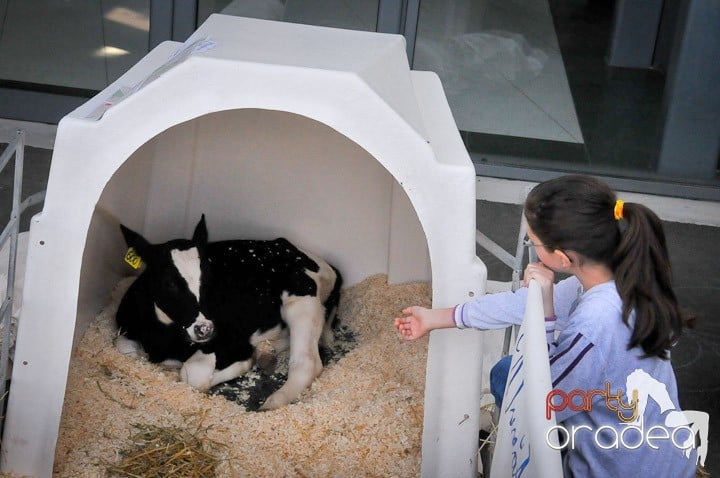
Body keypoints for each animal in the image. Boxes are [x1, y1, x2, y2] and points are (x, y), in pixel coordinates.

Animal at [114, 215, 344, 408]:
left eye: (209, 276)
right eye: (169, 283)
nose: (205, 329)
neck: (165, 341)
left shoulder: (233, 340)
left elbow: (192, 375)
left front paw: (244, 362)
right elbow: (125, 349)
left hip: (300, 299)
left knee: (307, 363)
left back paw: (272, 402)